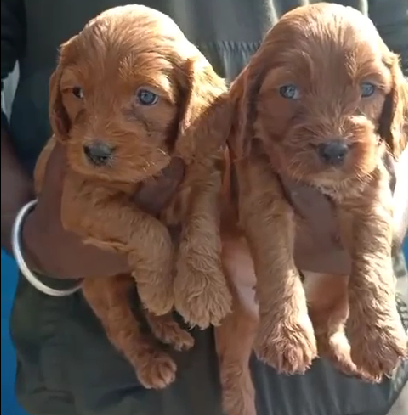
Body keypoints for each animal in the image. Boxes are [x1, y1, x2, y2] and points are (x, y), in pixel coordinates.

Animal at [34, 4, 233, 390]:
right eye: (76, 92)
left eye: (146, 96)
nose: (95, 152)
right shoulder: (80, 201)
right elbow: (146, 229)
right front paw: (161, 288)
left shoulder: (204, 173)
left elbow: (201, 226)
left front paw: (204, 291)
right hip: (100, 289)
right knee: (122, 329)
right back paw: (151, 359)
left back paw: (168, 326)